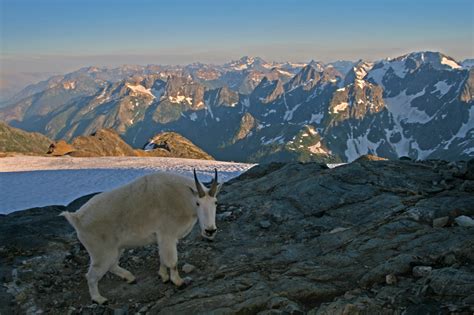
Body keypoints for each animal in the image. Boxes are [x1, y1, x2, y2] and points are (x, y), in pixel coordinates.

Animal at [60, 170, 221, 306]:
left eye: (215, 202)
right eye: (198, 203)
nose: (210, 230)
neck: (184, 199)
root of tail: (77, 219)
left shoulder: (162, 238)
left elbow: (162, 257)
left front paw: (163, 276)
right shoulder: (167, 234)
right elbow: (172, 261)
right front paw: (178, 282)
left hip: (116, 248)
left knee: (112, 265)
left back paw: (130, 278)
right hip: (101, 251)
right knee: (92, 275)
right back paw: (99, 299)